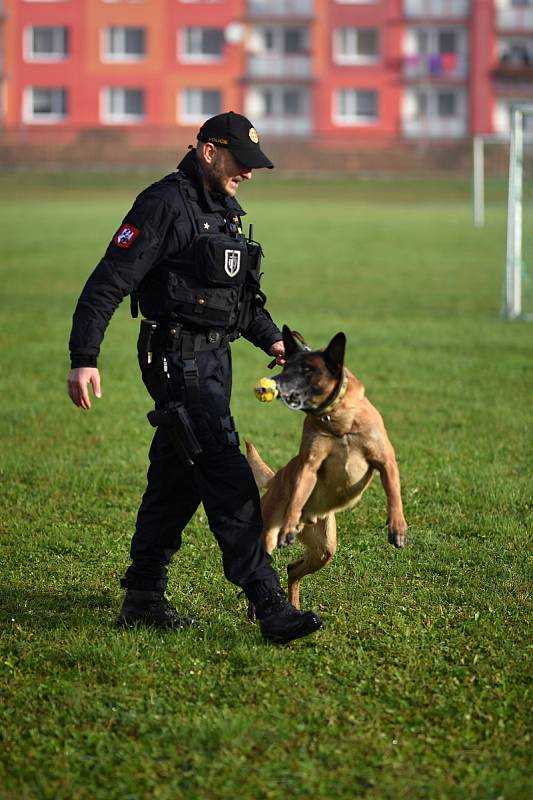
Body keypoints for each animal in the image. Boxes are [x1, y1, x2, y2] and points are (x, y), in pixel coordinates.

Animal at [246, 328, 408, 608]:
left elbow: (394, 494)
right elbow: (299, 491)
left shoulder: (385, 461)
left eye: (307, 369)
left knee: (292, 569)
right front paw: (288, 523)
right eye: (286, 366)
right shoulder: (309, 465)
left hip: (324, 549)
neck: (338, 421)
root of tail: (276, 478)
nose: (274, 382)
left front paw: (397, 527)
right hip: (268, 535)